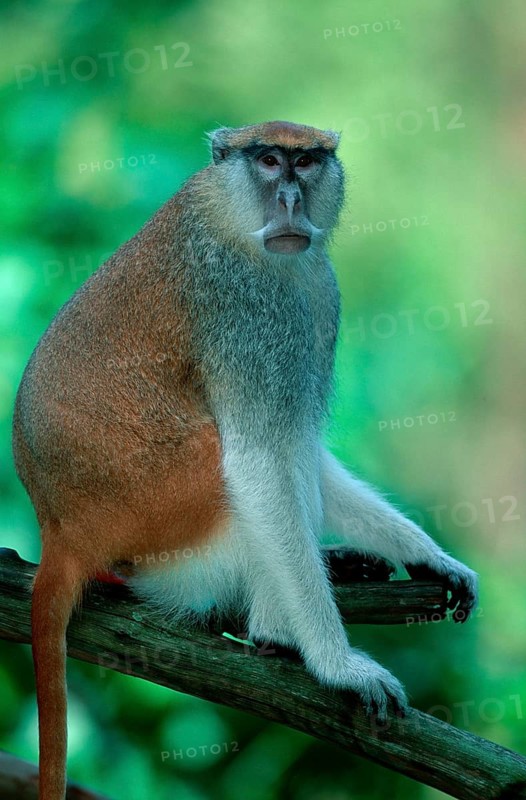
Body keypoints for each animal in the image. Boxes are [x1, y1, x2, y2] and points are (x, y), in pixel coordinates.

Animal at [12, 120, 478, 800]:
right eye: (268, 160)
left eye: (305, 163)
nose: (289, 200)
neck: (228, 213)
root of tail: (60, 531)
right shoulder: (245, 308)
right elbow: (258, 462)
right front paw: (337, 667)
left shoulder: (314, 290)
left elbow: (302, 447)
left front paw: (429, 557)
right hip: (162, 519)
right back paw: (276, 633)